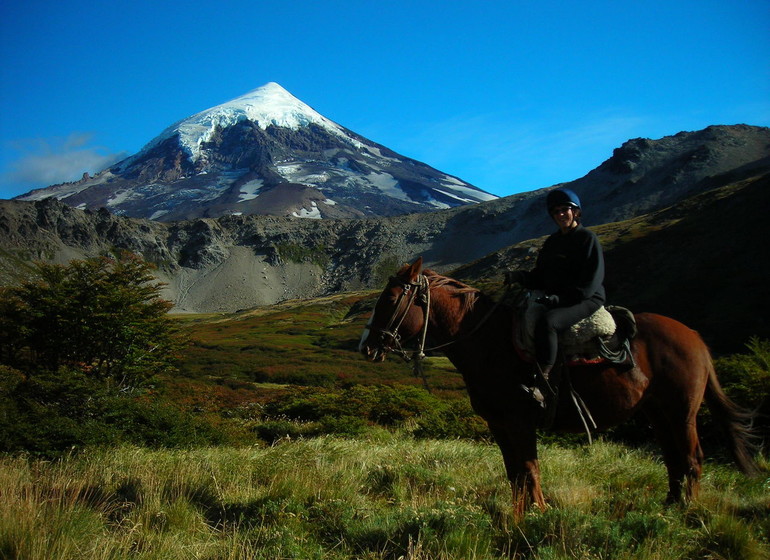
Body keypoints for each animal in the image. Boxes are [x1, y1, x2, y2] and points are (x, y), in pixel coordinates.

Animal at [360, 258, 756, 516]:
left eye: (391, 299)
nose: (366, 346)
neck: (488, 342)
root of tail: (695, 337)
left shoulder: (520, 421)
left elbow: (528, 468)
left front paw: (537, 512)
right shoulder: (499, 424)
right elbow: (514, 472)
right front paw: (521, 514)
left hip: (682, 410)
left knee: (692, 457)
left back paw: (689, 512)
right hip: (657, 412)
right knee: (673, 458)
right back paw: (669, 507)